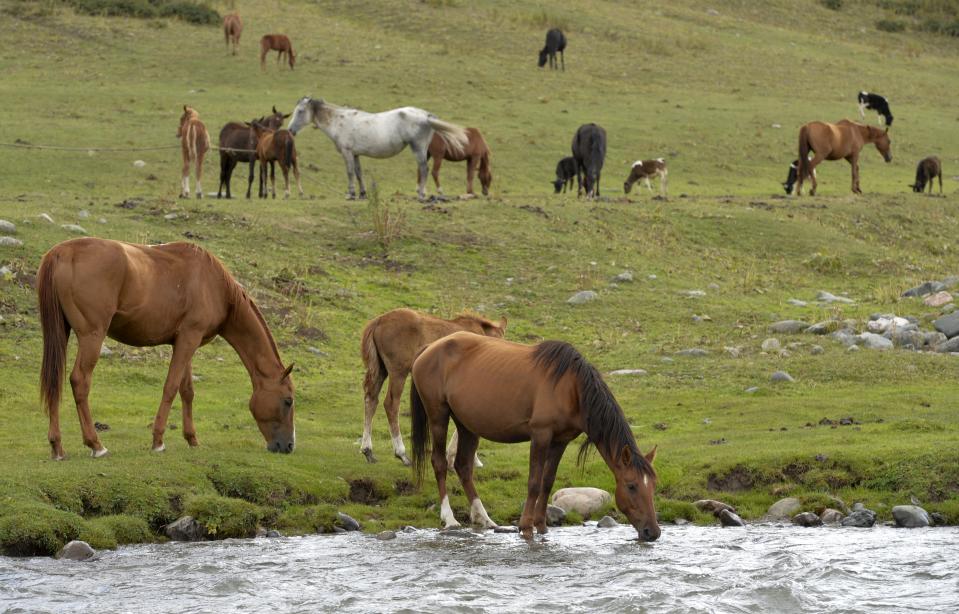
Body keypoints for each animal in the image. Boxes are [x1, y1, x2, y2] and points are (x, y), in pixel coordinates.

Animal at [38, 238, 296, 460]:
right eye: (288, 401)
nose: (289, 446)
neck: (214, 285)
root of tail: (61, 252)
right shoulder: (189, 339)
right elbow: (171, 387)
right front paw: (158, 441)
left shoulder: (185, 341)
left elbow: (187, 391)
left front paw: (192, 439)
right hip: (92, 336)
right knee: (79, 381)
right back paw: (95, 444)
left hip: (61, 333)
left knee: (55, 382)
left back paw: (57, 447)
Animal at [362, 310, 510, 464]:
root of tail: (379, 320)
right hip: (398, 373)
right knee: (391, 405)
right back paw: (401, 453)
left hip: (381, 370)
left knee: (371, 399)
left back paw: (368, 450)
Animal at [408, 334, 656, 540]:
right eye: (631, 486)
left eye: (653, 485)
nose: (652, 532)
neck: (571, 387)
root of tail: (429, 348)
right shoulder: (540, 435)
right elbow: (534, 483)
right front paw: (526, 526)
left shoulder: (560, 441)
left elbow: (547, 482)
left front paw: (541, 526)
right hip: (438, 416)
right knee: (440, 463)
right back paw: (449, 519)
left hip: (467, 425)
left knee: (463, 466)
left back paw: (485, 519)